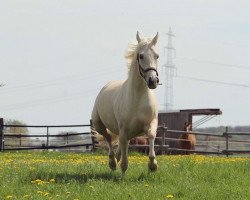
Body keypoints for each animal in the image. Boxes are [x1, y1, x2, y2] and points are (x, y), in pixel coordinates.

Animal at [91, 31, 159, 173]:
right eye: (141, 56)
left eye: (157, 56)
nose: (153, 81)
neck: (137, 99)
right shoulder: (123, 129)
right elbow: (124, 158)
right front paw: (122, 171)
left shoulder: (151, 122)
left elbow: (151, 136)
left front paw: (153, 165)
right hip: (99, 124)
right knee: (108, 138)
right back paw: (112, 162)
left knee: (121, 143)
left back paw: (116, 159)